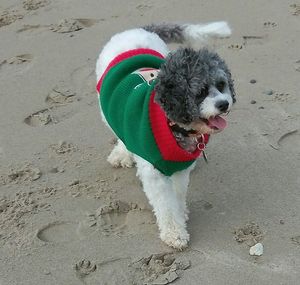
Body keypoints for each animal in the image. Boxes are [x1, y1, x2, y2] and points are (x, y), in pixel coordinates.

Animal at [96, 22, 237, 248]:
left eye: (221, 84)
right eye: (200, 92)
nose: (224, 104)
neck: (174, 126)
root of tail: (138, 29)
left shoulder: (179, 167)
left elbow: (177, 196)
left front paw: (182, 214)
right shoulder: (154, 175)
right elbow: (166, 205)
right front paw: (175, 233)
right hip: (105, 108)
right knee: (119, 131)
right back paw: (122, 153)